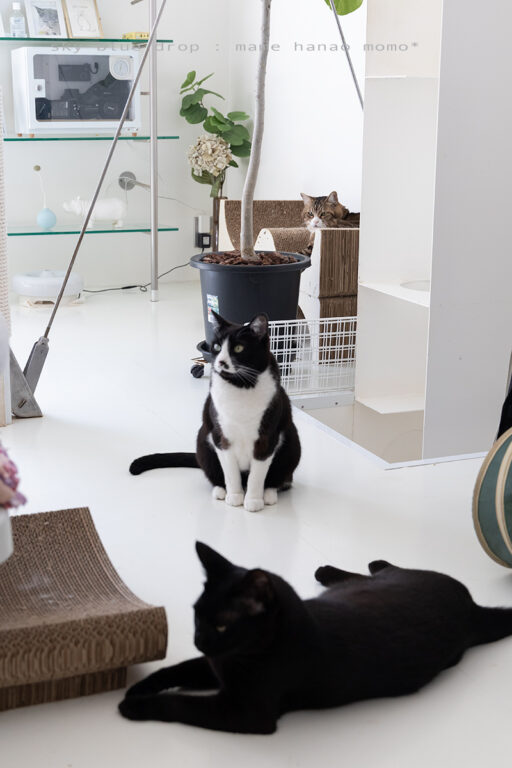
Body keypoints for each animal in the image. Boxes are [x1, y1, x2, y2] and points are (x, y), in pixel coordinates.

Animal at [119, 541, 512, 733]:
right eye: (196, 615)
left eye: (220, 625)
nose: (199, 640)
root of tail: (471, 605)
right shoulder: (214, 664)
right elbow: (175, 670)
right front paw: (138, 688)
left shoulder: (247, 710)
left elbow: (180, 703)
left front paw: (134, 706)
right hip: (372, 586)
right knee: (374, 571)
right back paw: (333, 569)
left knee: (385, 569)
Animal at [130, 312, 301, 513]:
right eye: (217, 347)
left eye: (239, 348)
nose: (221, 362)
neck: (241, 385)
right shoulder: (221, 436)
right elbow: (231, 472)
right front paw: (235, 496)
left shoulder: (266, 437)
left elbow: (257, 475)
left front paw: (253, 500)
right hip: (203, 441)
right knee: (216, 473)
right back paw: (221, 490)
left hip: (292, 443)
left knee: (278, 477)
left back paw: (269, 493)